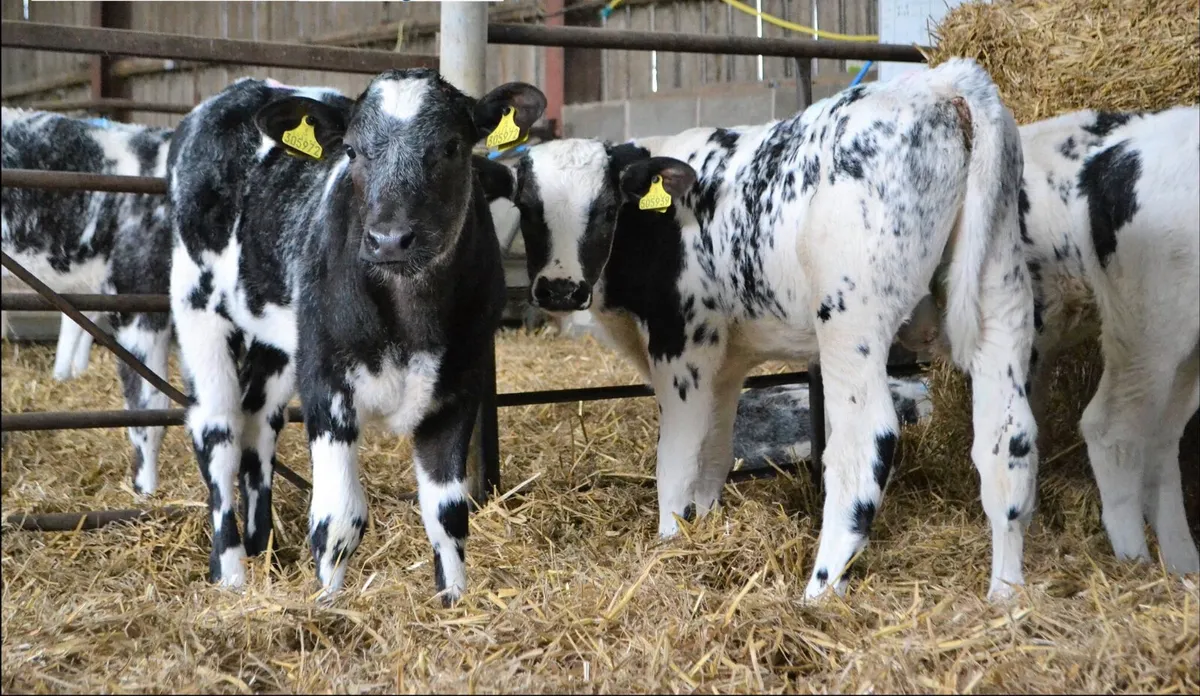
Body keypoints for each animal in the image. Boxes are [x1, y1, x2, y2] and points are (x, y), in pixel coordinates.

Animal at [167, 71, 545, 604]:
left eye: (451, 146)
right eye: (350, 150)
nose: (389, 239)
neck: (412, 323)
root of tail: (244, 87)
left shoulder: (459, 385)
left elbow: (448, 514)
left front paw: (452, 601)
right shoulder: (327, 383)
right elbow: (338, 518)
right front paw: (328, 604)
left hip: (278, 340)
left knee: (258, 423)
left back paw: (264, 552)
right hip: (198, 305)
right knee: (216, 431)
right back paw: (232, 572)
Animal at [477, 58, 1037, 601]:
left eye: (608, 209)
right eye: (526, 206)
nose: (560, 289)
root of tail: (941, 82)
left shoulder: (684, 342)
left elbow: (676, 457)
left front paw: (669, 544)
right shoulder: (727, 359)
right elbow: (713, 453)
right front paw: (703, 528)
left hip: (852, 318)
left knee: (864, 441)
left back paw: (820, 589)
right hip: (1001, 290)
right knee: (1008, 437)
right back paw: (1005, 595)